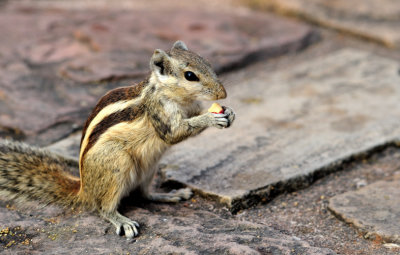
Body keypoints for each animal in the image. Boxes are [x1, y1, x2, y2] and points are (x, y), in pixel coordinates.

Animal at [0, 41, 234, 239]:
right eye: (190, 75)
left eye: (208, 63)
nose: (222, 93)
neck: (175, 97)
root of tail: (85, 190)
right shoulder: (160, 113)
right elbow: (174, 133)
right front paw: (211, 118)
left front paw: (228, 113)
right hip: (116, 164)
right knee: (103, 208)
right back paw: (122, 221)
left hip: (149, 168)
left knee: (144, 194)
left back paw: (168, 196)